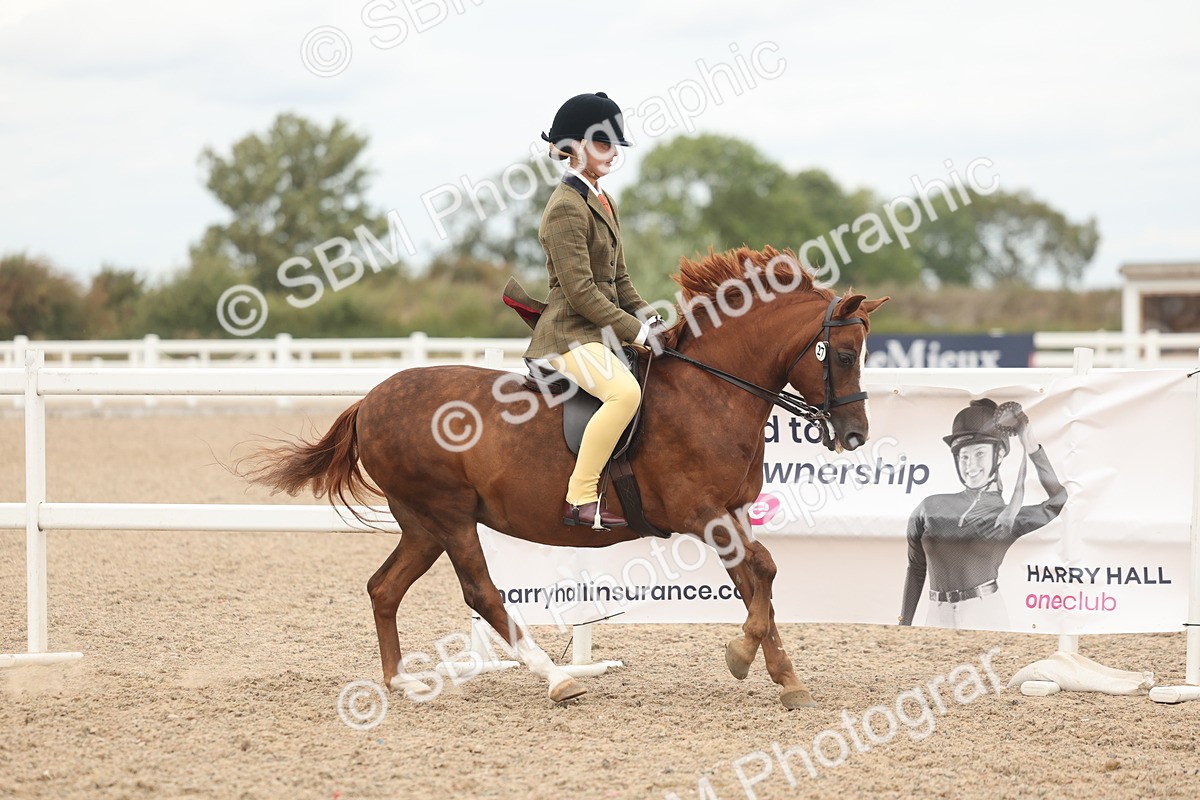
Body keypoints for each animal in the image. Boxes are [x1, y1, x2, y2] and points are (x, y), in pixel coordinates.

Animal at [244, 245, 888, 708]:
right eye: (843, 354)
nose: (855, 435)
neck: (712, 391)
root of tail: (370, 400)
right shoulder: (700, 513)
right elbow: (763, 573)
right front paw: (741, 655)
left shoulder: (730, 513)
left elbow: (760, 581)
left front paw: (784, 677)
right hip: (449, 515)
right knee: (481, 592)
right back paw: (557, 679)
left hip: (422, 523)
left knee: (384, 588)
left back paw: (400, 682)